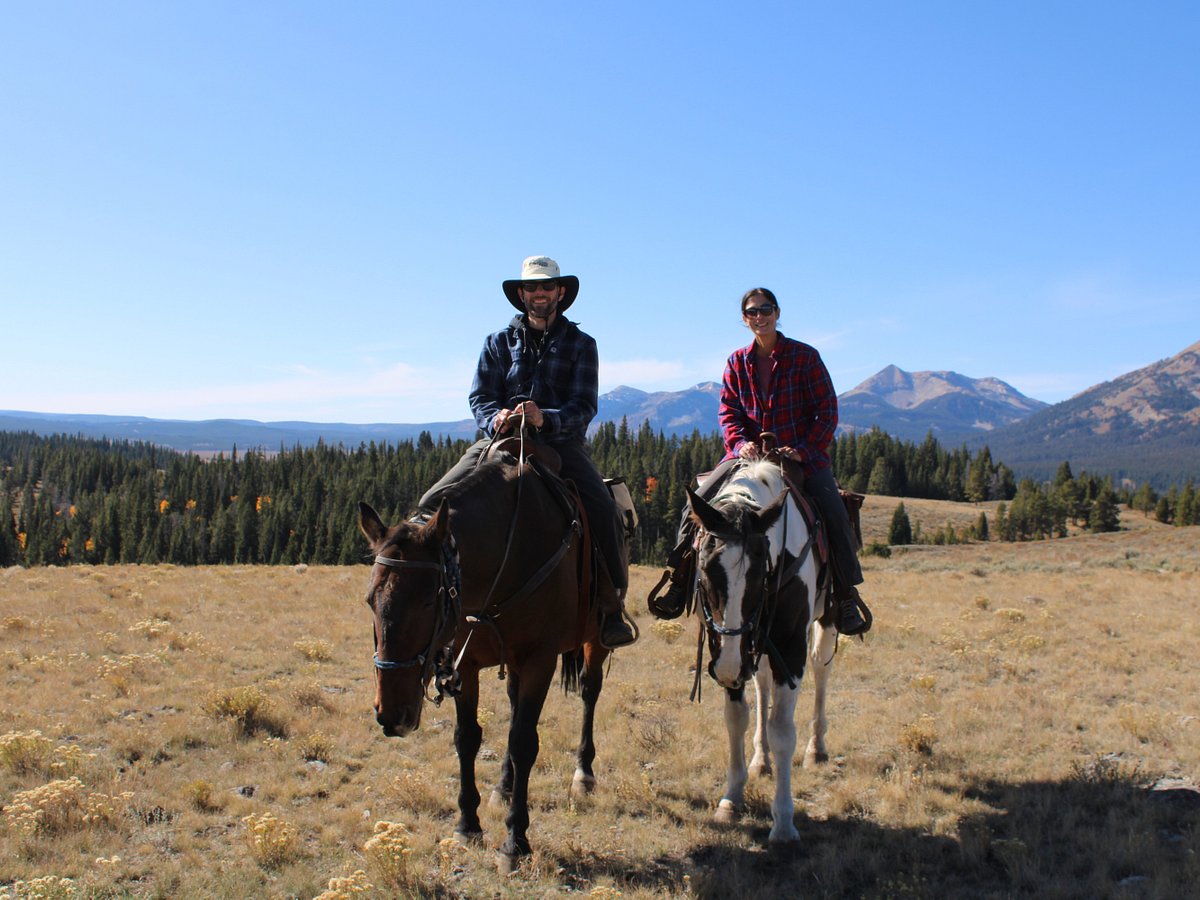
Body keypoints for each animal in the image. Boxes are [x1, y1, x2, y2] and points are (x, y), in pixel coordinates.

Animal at [355, 453, 614, 868]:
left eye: (427, 600)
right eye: (369, 601)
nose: (391, 715)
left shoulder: (540, 659)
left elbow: (524, 741)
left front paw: (516, 841)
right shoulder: (467, 663)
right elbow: (468, 738)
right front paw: (468, 824)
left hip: (595, 638)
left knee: (590, 691)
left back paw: (584, 773)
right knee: (513, 704)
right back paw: (504, 786)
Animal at [681, 460, 840, 844]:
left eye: (760, 577)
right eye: (705, 571)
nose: (727, 670)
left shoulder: (789, 646)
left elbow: (782, 730)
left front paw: (783, 823)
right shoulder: (724, 646)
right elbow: (736, 718)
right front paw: (731, 797)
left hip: (824, 620)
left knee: (821, 669)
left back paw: (817, 749)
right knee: (762, 681)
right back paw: (761, 760)